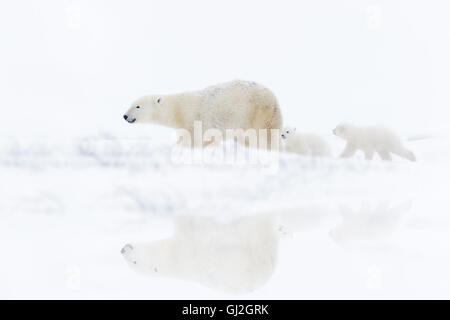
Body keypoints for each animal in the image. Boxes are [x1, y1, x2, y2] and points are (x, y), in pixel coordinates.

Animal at [123, 79, 284, 148]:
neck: (178, 110)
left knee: (262, 135)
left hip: (259, 112)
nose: (125, 116)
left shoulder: (194, 120)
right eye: (131, 104)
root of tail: (274, 97)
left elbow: (195, 140)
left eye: (137, 106)